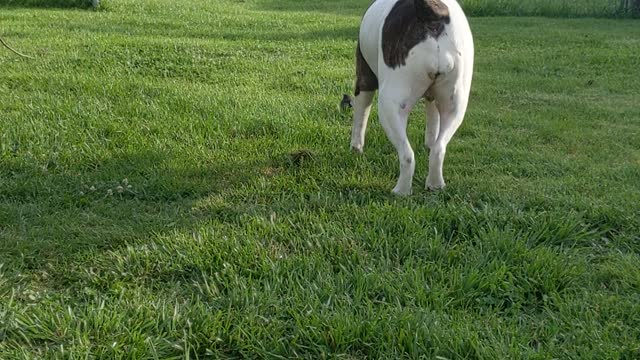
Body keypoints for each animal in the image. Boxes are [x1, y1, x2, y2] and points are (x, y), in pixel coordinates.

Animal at [352, 0, 472, 195]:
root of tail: (432, 14)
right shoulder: (434, 98)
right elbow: (432, 119)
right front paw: (429, 142)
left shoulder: (364, 79)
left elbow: (360, 116)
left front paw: (356, 147)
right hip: (455, 106)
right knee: (439, 149)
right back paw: (435, 184)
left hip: (390, 105)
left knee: (407, 155)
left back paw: (401, 191)